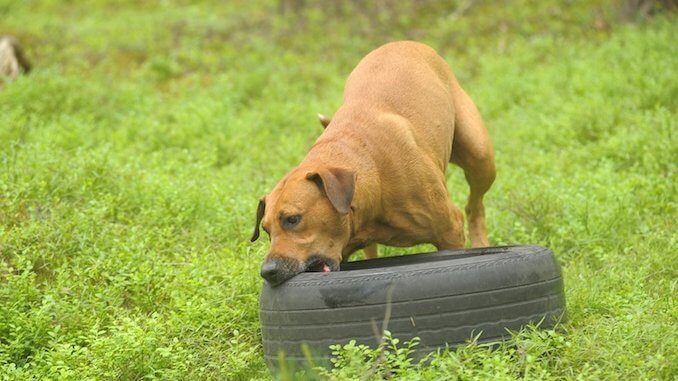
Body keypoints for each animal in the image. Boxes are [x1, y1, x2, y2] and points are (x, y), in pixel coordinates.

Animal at [252, 41, 496, 284]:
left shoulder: (450, 232)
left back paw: (480, 242)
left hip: (480, 157)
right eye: (266, 230)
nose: (267, 271)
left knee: (474, 206)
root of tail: (404, 42)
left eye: (293, 219)